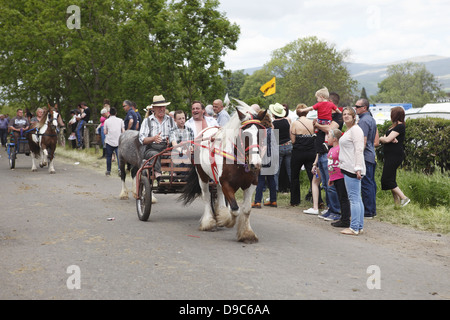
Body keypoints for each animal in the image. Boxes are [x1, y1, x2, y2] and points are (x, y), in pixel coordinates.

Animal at [179, 101, 268, 244]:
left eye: (262, 134)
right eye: (245, 135)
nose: (256, 164)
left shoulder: (251, 184)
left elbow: (246, 209)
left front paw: (247, 233)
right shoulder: (226, 183)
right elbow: (235, 209)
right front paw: (227, 220)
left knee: (219, 193)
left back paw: (220, 212)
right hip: (202, 176)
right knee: (206, 196)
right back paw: (209, 222)